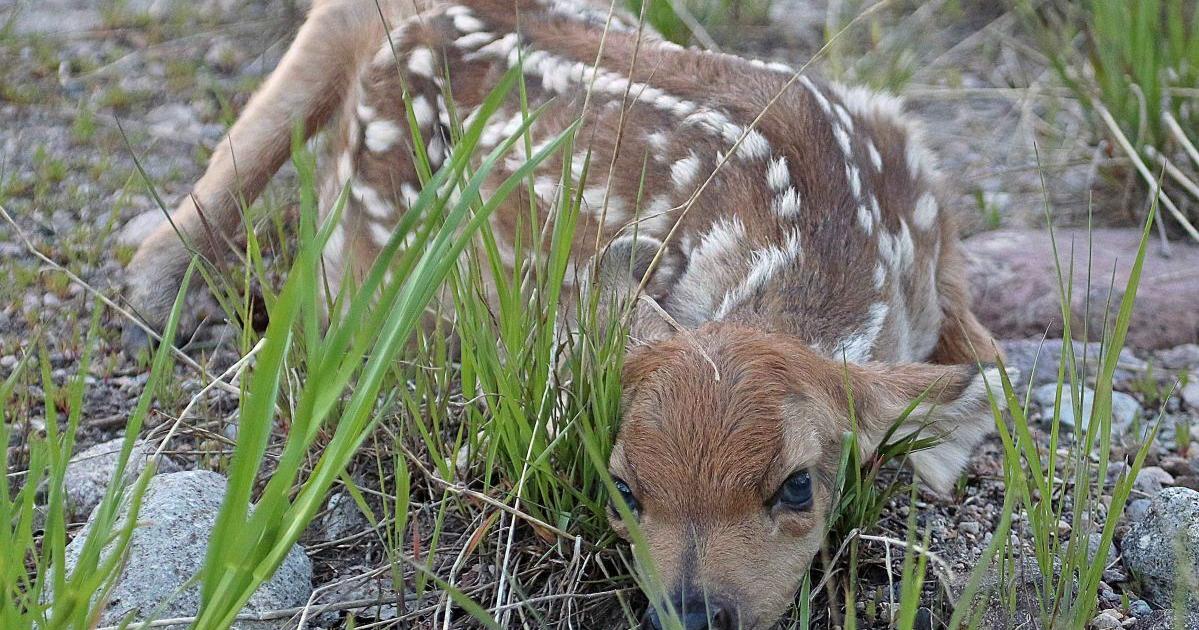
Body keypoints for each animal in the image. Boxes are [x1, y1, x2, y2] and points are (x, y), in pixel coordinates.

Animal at [122, 0, 1006, 628]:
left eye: (796, 487)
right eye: (623, 486)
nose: (692, 614)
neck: (834, 238)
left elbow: (988, 371)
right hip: (372, 246)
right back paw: (154, 294)